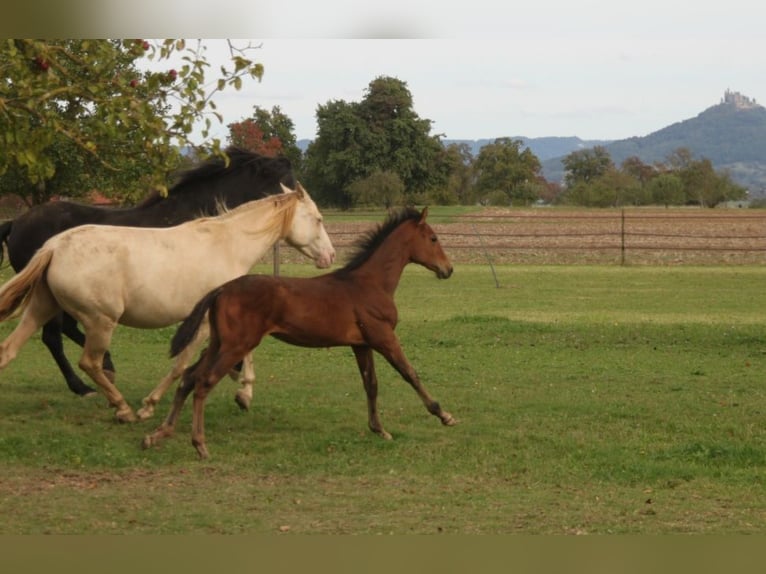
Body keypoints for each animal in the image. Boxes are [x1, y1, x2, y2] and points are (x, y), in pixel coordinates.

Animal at [0, 146, 296, 398]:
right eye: (290, 184)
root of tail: (16, 222)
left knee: (65, 331)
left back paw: (103, 370)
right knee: (54, 337)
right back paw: (85, 385)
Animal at [0, 184, 336, 424]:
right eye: (318, 219)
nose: (330, 256)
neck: (227, 246)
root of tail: (54, 247)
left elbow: (242, 354)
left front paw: (244, 394)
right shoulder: (204, 322)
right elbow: (181, 363)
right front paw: (149, 406)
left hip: (41, 308)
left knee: (9, 350)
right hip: (100, 321)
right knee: (90, 362)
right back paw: (122, 408)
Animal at [143, 206, 456, 460]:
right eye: (433, 239)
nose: (448, 269)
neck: (370, 284)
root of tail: (221, 289)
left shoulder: (361, 344)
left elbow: (371, 384)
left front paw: (379, 429)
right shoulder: (383, 338)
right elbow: (410, 373)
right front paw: (444, 414)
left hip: (219, 343)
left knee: (188, 377)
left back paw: (158, 434)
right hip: (236, 346)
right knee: (204, 382)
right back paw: (200, 445)